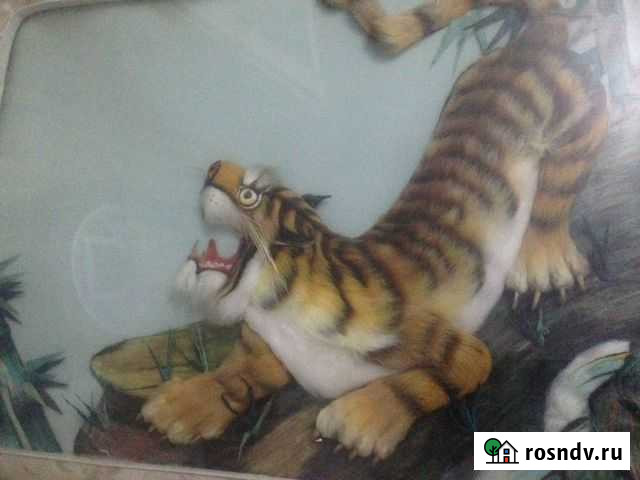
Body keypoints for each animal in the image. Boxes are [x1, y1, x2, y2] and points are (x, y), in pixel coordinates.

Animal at [141, 0, 608, 461]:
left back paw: (544, 264)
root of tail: (531, 40)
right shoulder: (267, 350)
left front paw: (359, 420)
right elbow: (236, 374)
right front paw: (179, 405)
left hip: (577, 116)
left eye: (250, 193)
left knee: (565, 176)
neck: (275, 307)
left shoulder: (454, 346)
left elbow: (425, 382)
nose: (212, 167)